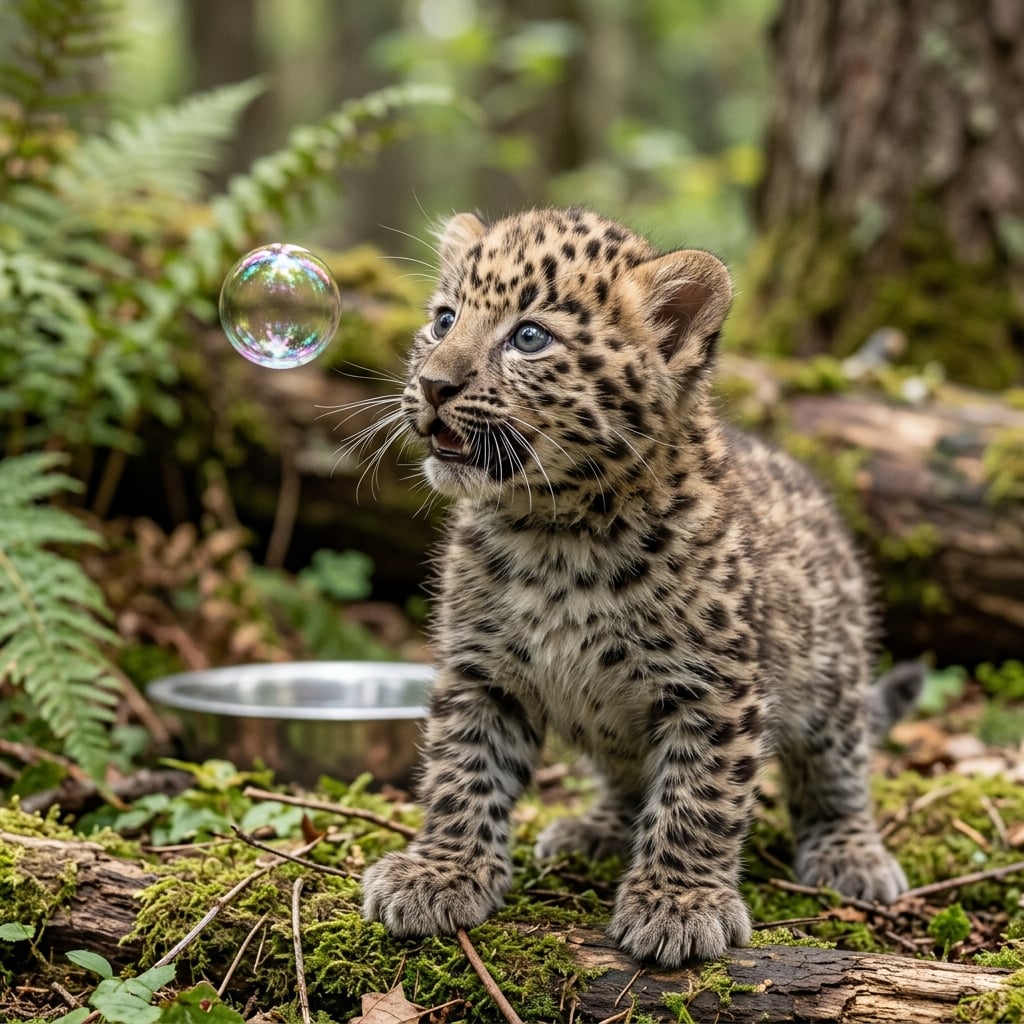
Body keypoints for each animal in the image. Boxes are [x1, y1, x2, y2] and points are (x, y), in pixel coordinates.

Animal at [359, 206, 911, 966]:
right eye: (443, 321)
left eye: (528, 337)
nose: (434, 384)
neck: (554, 533)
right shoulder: (481, 672)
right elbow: (461, 771)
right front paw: (440, 873)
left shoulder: (712, 690)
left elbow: (699, 799)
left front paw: (680, 905)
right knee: (626, 778)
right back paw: (592, 830)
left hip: (833, 679)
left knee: (838, 772)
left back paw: (850, 853)